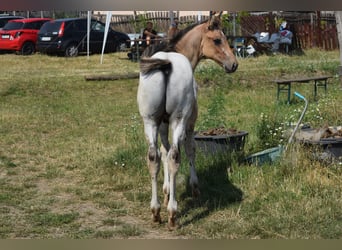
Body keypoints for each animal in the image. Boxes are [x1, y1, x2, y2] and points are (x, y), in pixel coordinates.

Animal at [136, 12, 238, 229]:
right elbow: (190, 150)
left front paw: (167, 191)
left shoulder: (163, 124)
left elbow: (163, 152)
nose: (233, 64)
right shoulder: (189, 123)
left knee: (154, 157)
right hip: (179, 120)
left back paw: (156, 211)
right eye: (218, 40)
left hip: (150, 121)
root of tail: (167, 64)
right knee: (176, 155)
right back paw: (172, 214)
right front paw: (194, 187)